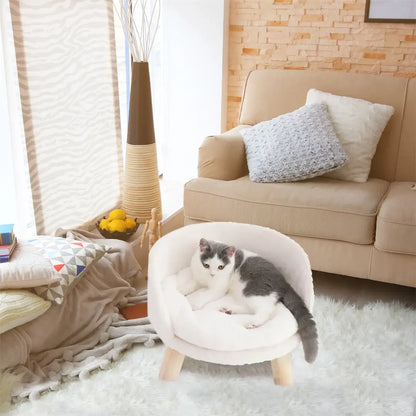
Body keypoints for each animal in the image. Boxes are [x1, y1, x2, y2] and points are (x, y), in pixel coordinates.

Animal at [184, 239, 318, 362]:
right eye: (206, 265)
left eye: (220, 267)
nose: (212, 274)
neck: (207, 280)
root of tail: (284, 282)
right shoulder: (198, 278)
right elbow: (191, 284)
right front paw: (182, 289)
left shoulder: (219, 287)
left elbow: (206, 294)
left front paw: (193, 302)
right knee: (250, 308)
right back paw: (229, 310)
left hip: (253, 289)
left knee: (265, 310)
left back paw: (253, 322)